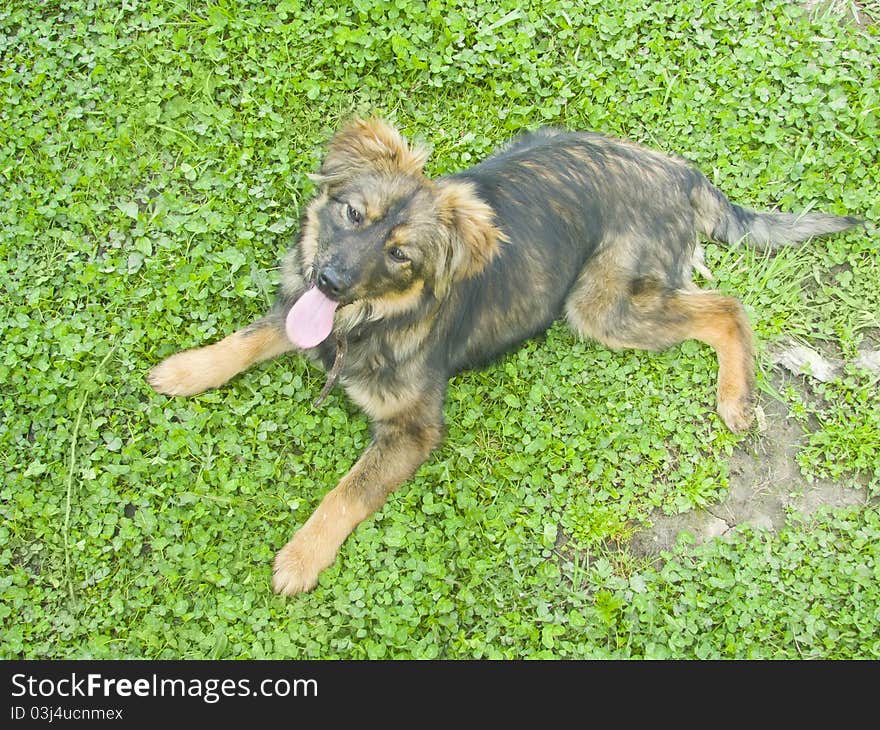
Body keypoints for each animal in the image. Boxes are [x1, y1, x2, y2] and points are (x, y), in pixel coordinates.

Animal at [150, 115, 860, 592]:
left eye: (400, 254)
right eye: (353, 214)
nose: (328, 281)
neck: (365, 324)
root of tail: (680, 172)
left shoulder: (412, 429)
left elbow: (346, 493)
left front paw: (300, 558)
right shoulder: (302, 315)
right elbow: (249, 337)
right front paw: (186, 369)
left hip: (600, 307)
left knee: (728, 306)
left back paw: (736, 398)